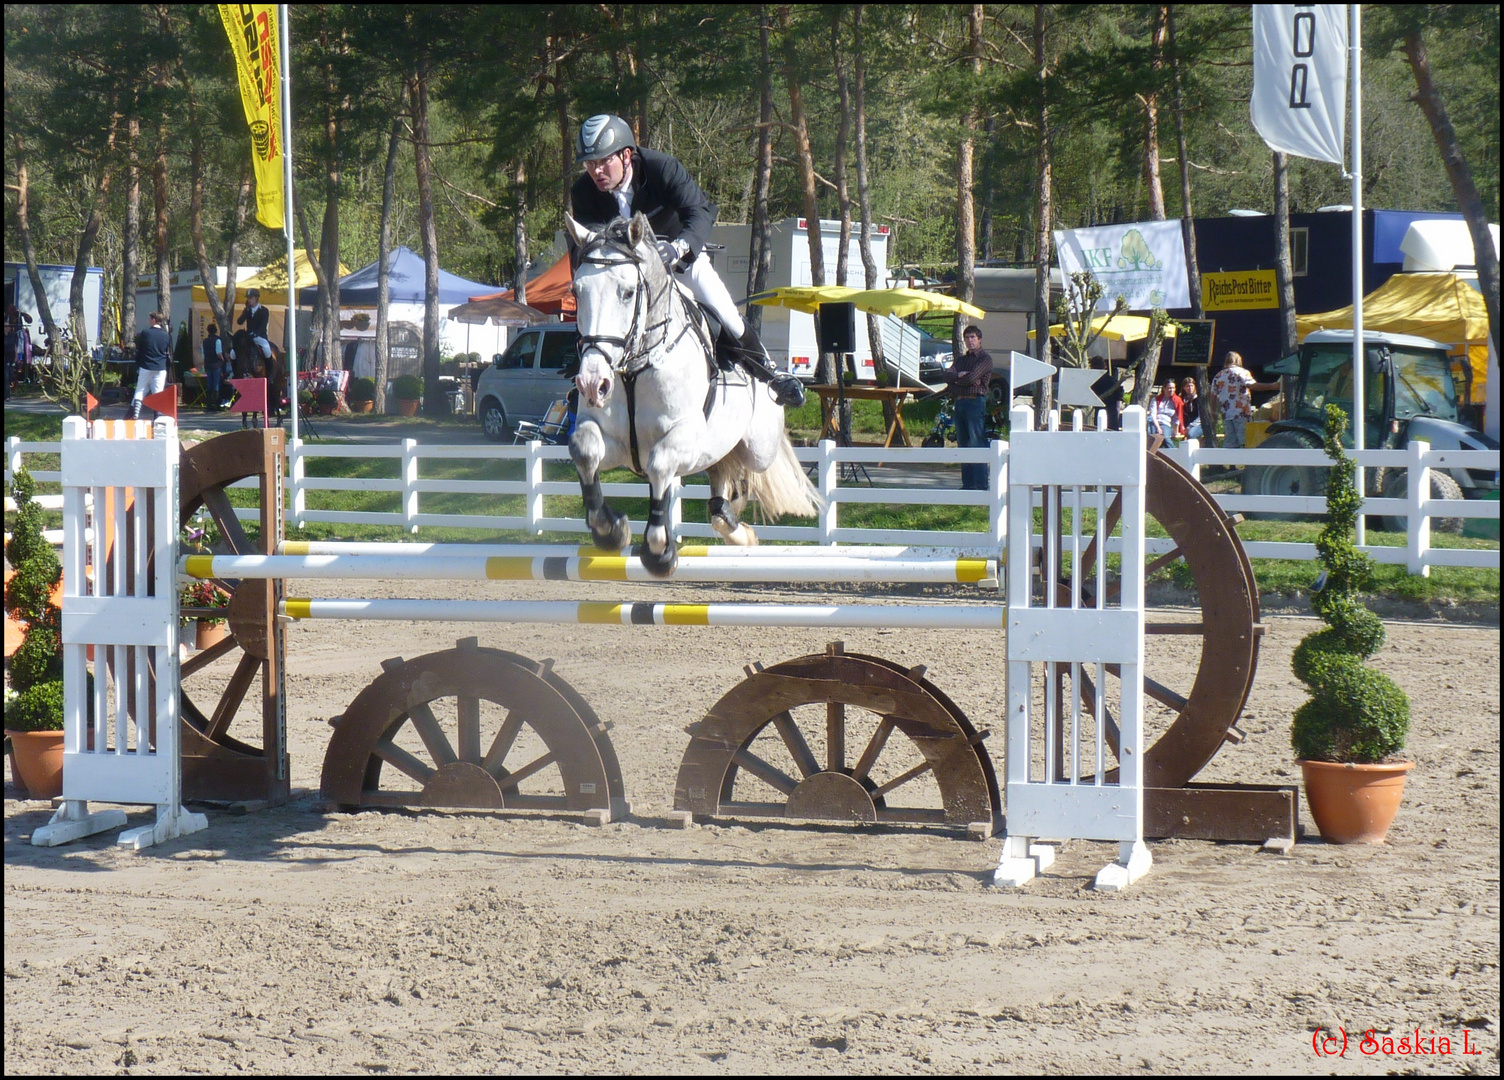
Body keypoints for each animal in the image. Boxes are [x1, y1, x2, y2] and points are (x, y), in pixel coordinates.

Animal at [565, 215, 824, 580]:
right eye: (576, 291)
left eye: (627, 293)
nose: (592, 382)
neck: (634, 368)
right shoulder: (613, 441)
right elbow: (585, 450)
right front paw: (610, 531)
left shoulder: (684, 438)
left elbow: (660, 465)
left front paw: (659, 552)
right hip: (714, 452)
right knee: (721, 481)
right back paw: (733, 524)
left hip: (758, 447)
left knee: (746, 471)